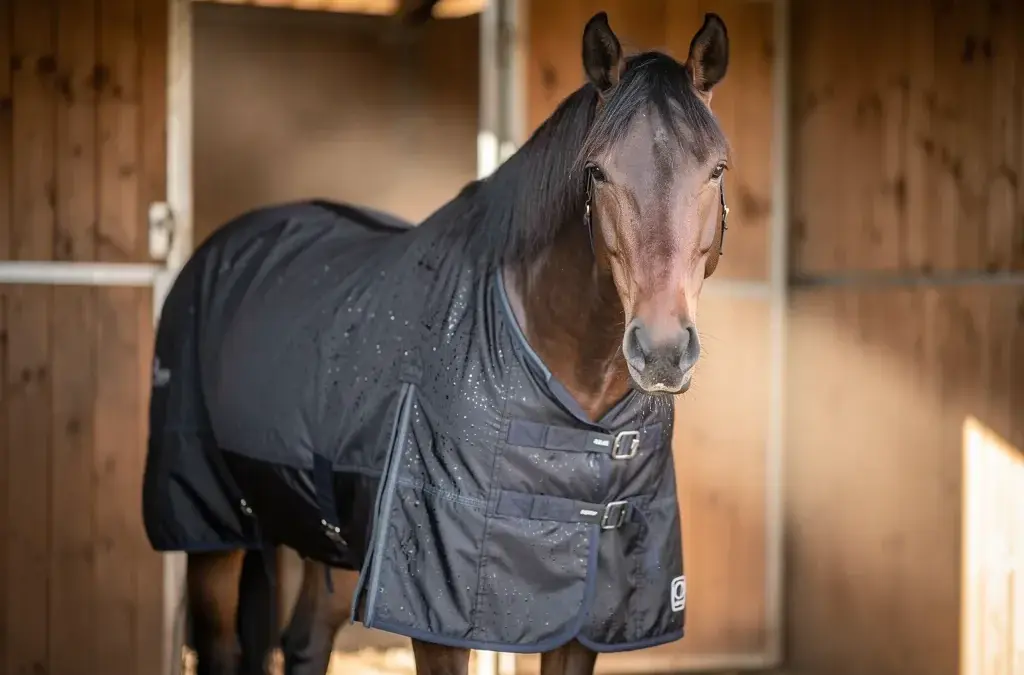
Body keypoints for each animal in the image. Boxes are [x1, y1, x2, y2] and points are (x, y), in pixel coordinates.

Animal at [142, 10, 732, 675]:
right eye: (598, 171)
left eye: (716, 169)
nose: (661, 351)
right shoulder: (432, 615)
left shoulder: (583, 626)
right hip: (211, 527)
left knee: (304, 643)